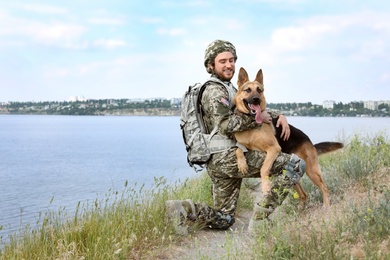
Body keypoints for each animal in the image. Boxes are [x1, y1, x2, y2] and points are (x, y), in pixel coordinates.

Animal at [233, 67, 342, 207]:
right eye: (248, 90)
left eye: (259, 90)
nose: (256, 99)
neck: (251, 125)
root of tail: (310, 141)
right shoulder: (245, 146)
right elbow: (238, 149)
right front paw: (242, 164)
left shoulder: (273, 149)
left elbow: (264, 168)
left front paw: (266, 187)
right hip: (293, 174)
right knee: (303, 194)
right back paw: (301, 209)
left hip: (311, 171)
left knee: (324, 188)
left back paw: (326, 206)